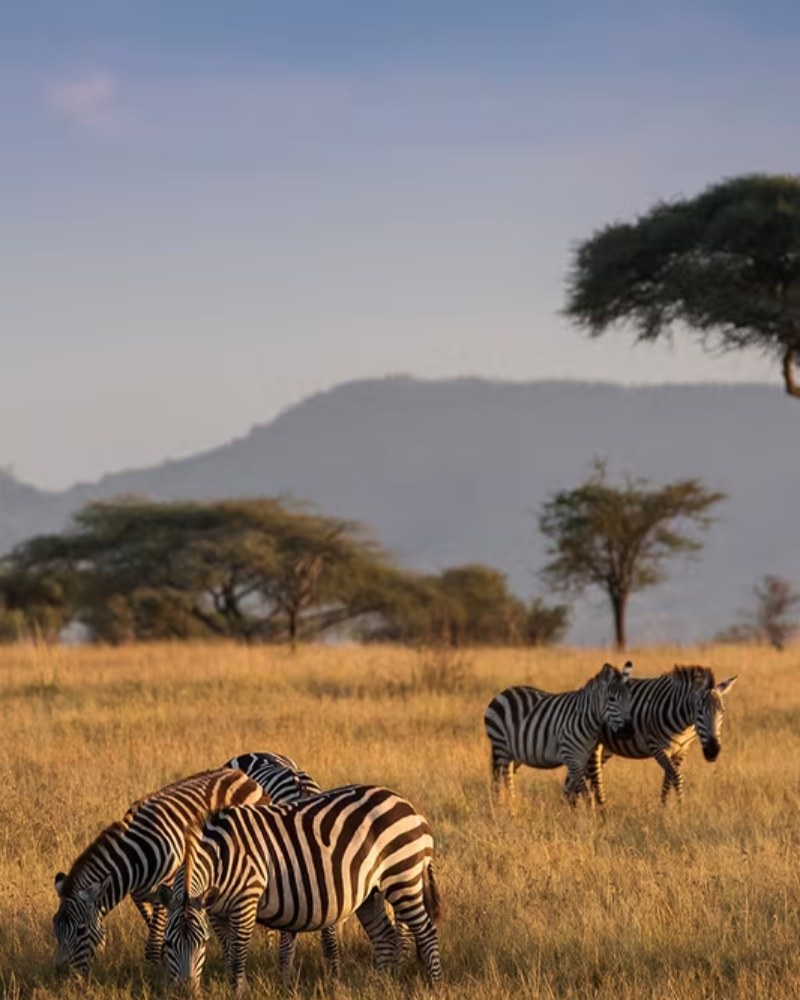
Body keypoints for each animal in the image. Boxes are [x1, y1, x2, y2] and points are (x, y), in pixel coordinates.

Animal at [52, 767, 267, 976]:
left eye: (81, 931)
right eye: (55, 928)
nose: (60, 974)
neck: (136, 858)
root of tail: (241, 775)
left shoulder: (167, 889)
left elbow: (154, 943)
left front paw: (154, 973)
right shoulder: (140, 896)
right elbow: (158, 933)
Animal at [158, 784, 443, 992]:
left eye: (202, 943)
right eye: (168, 944)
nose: (186, 993)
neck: (221, 856)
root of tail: (410, 809)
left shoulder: (247, 899)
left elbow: (238, 953)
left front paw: (238, 991)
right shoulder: (216, 911)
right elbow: (229, 951)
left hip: (402, 876)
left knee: (426, 932)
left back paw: (435, 985)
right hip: (370, 894)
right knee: (385, 938)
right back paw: (379, 985)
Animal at [484, 661, 634, 806]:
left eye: (630, 698)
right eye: (611, 699)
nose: (627, 731)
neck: (585, 720)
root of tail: (503, 693)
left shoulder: (581, 759)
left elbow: (570, 790)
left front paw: (567, 810)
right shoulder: (572, 758)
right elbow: (586, 795)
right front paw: (588, 814)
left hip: (512, 753)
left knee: (502, 781)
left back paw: (504, 806)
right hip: (501, 747)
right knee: (503, 782)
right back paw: (507, 807)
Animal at [586, 665, 738, 805]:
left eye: (723, 711)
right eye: (699, 711)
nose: (713, 751)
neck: (684, 725)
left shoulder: (682, 750)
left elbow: (668, 780)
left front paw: (664, 808)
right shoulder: (657, 747)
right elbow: (676, 777)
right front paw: (681, 808)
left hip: (606, 749)